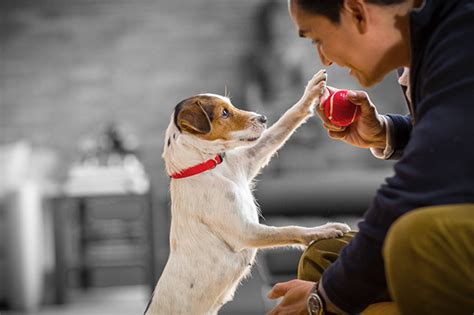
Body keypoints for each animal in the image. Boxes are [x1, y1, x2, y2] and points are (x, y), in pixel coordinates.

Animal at [146, 69, 350, 315]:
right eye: (224, 113)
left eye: (231, 105)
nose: (263, 117)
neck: (212, 167)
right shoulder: (246, 232)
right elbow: (290, 229)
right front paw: (325, 230)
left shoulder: (251, 159)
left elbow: (286, 121)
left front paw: (311, 92)